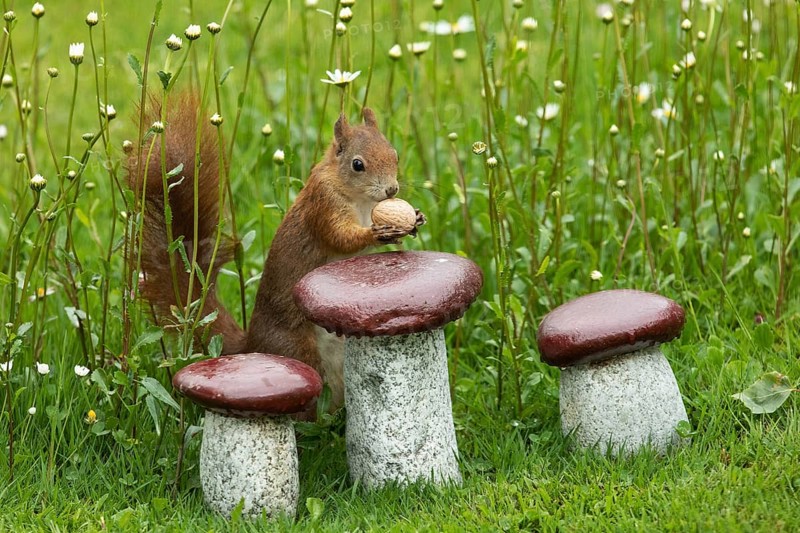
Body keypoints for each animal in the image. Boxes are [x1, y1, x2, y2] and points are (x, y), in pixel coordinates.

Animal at [128, 94, 424, 410]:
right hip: (297, 350)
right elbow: (341, 238)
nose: (392, 190)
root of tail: (251, 346)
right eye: (358, 164)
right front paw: (376, 232)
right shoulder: (323, 206)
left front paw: (415, 220)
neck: (361, 200)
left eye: (394, 154)